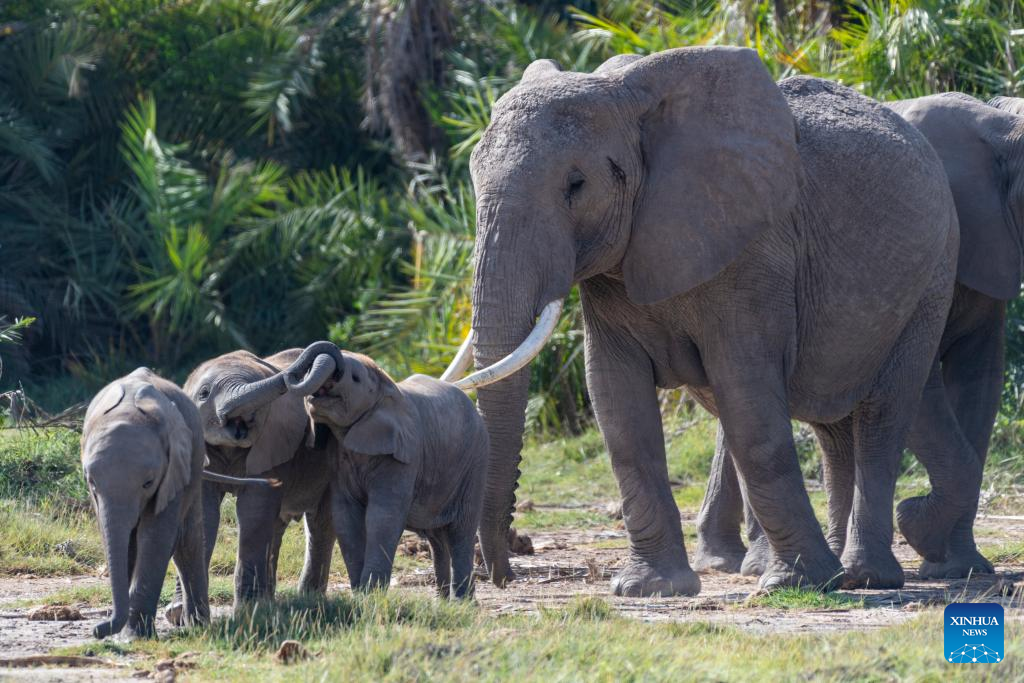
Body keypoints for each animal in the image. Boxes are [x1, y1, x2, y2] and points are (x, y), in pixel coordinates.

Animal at [81, 368, 275, 639]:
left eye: (148, 483)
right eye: (92, 483)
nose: (97, 630)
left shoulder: (174, 467)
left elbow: (156, 536)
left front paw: (133, 637)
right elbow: (121, 538)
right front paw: (125, 633)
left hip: (194, 463)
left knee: (188, 539)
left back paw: (198, 624)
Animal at [164, 348, 335, 620]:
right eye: (204, 394)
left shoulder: (274, 442)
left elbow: (254, 512)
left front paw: (247, 612)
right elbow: (205, 514)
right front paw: (178, 614)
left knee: (320, 523)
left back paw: (307, 600)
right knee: (277, 527)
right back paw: (270, 601)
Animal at [209, 341, 493, 598]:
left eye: (354, 379)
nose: (293, 373)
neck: (386, 386)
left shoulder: (403, 456)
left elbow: (382, 515)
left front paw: (371, 595)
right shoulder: (339, 458)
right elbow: (345, 516)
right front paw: (362, 594)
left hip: (475, 464)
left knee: (461, 529)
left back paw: (462, 602)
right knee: (437, 537)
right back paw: (444, 601)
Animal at [439, 46, 959, 595]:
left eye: (575, 186)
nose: (502, 571)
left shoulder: (755, 251)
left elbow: (748, 400)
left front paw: (794, 583)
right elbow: (617, 405)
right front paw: (651, 588)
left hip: (932, 276)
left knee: (882, 417)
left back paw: (863, 576)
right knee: (831, 428)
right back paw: (836, 568)